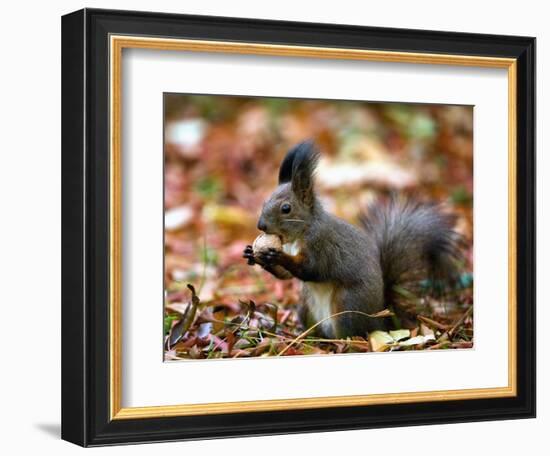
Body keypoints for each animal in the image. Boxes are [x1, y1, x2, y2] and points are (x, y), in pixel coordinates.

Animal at [244, 142, 464, 338]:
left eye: (286, 208)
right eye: (264, 202)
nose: (261, 226)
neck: (299, 234)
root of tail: (381, 319)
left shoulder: (321, 244)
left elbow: (311, 269)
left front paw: (277, 256)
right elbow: (286, 276)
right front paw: (252, 254)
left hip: (347, 305)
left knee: (351, 333)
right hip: (306, 306)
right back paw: (305, 335)